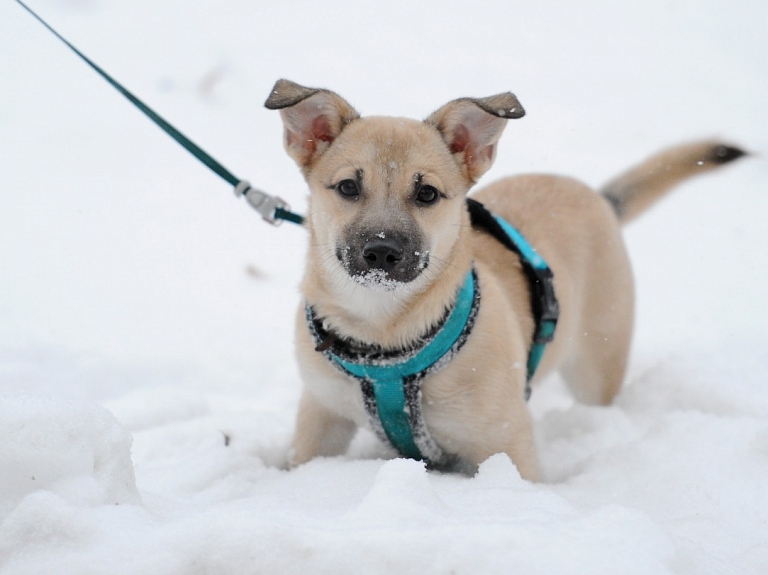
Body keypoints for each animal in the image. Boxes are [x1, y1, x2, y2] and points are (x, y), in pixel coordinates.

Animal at [268, 77, 748, 482]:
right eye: (348, 187)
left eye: (427, 193)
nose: (382, 252)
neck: (384, 338)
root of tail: (599, 197)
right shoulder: (321, 414)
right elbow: (304, 457)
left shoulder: (506, 444)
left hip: (597, 362)